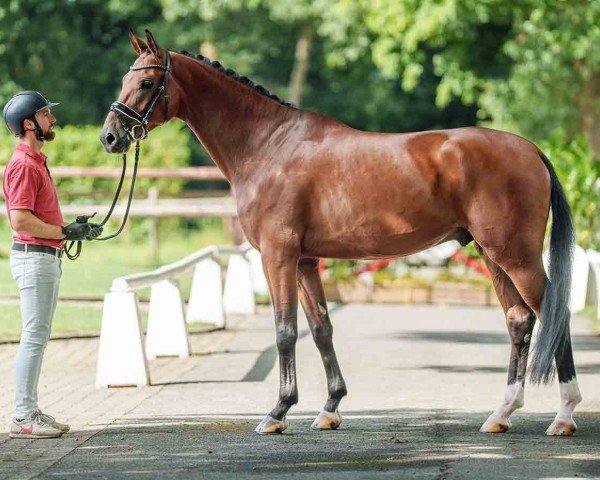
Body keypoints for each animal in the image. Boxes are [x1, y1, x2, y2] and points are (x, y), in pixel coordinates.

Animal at [99, 29, 580, 436]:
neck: (268, 146)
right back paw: (501, 414)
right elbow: (321, 329)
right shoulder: (306, 261)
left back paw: (564, 417)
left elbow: (285, 330)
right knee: (519, 321)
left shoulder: (278, 255)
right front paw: (330, 408)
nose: (110, 137)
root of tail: (531, 150)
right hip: (491, 254)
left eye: (146, 83)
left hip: (515, 255)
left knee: (554, 312)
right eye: (124, 78)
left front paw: (277, 413)